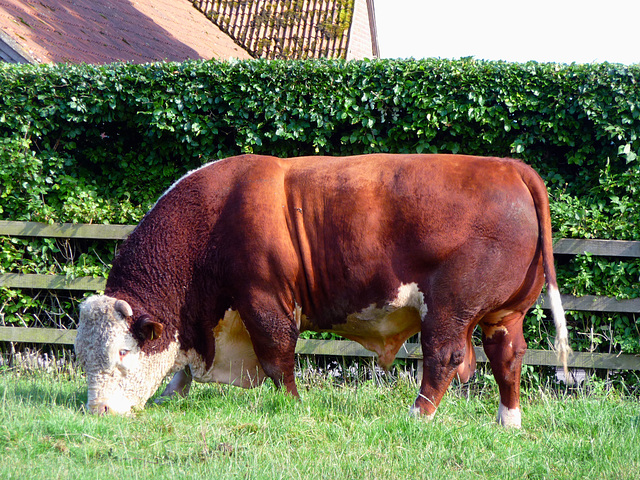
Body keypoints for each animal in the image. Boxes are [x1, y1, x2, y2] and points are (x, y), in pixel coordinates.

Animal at [75, 154, 568, 428]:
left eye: (122, 352)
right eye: (82, 356)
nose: (98, 411)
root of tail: (509, 168)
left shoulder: (264, 298)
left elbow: (277, 357)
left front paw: (293, 406)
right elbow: (187, 369)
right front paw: (172, 394)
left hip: (449, 309)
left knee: (443, 357)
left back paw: (418, 416)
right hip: (504, 315)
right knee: (507, 359)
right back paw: (508, 422)